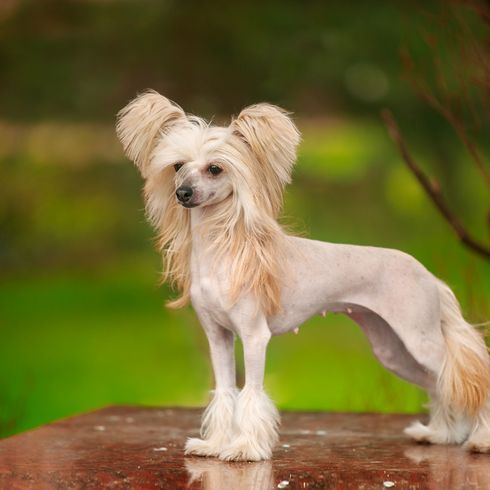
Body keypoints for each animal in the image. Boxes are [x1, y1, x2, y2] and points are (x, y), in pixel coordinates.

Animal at [116, 90, 490, 462]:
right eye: (177, 166)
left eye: (215, 168)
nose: (182, 193)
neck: (221, 252)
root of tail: (430, 277)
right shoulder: (217, 336)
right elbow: (225, 392)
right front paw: (216, 444)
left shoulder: (254, 337)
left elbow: (251, 392)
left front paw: (245, 447)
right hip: (394, 349)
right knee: (442, 384)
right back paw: (440, 434)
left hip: (420, 340)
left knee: (471, 381)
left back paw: (479, 440)